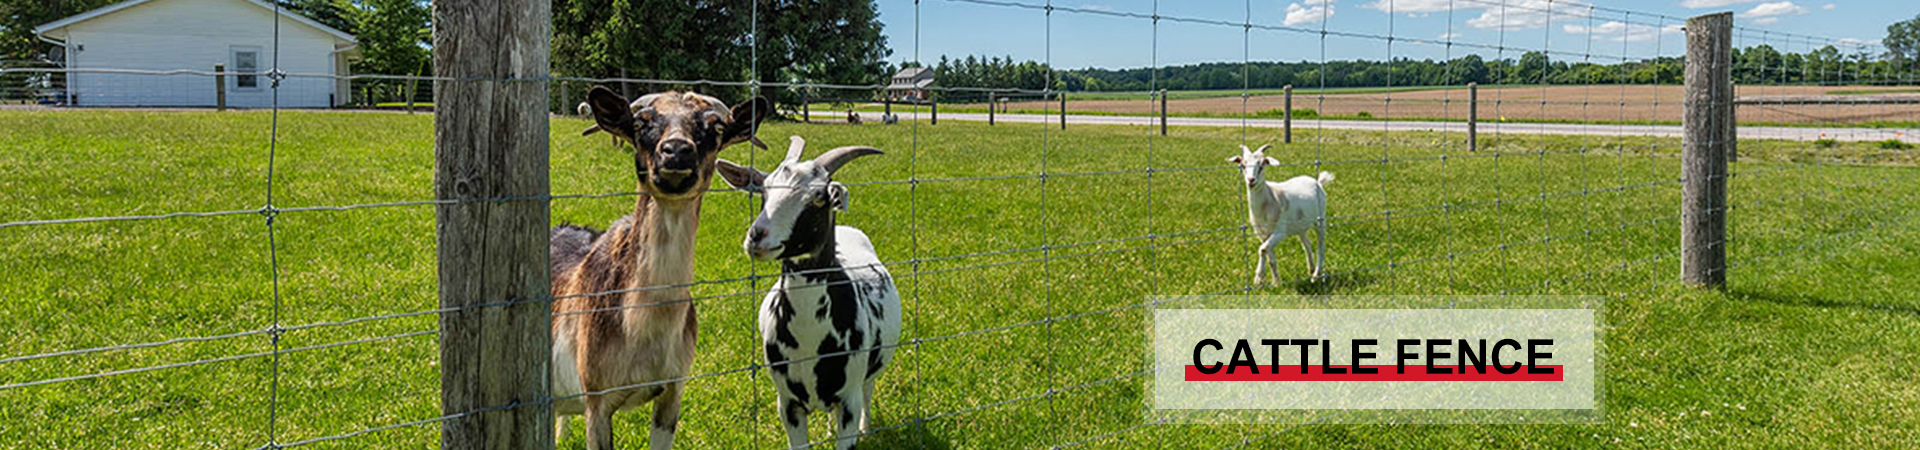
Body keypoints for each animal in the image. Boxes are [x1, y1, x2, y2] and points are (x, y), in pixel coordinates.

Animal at [552, 86, 768, 448]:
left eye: (716, 126)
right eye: (642, 122)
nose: (677, 151)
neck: (642, 331)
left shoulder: (673, 388)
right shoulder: (596, 395)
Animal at [718, 136, 902, 450]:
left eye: (818, 197)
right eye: (764, 190)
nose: (757, 237)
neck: (810, 337)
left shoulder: (849, 398)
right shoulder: (788, 404)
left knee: (868, 390)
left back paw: (866, 429)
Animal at [1228, 144, 1336, 284]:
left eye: (1262, 165)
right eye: (1243, 165)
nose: (1251, 180)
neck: (1269, 198)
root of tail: (1318, 182)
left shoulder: (1280, 232)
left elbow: (1262, 249)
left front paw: (1259, 277)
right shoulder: (1263, 235)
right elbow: (1269, 257)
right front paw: (1275, 283)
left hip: (1320, 221)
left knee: (1321, 247)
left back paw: (1315, 275)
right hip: (1300, 226)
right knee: (1307, 245)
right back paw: (1311, 269)